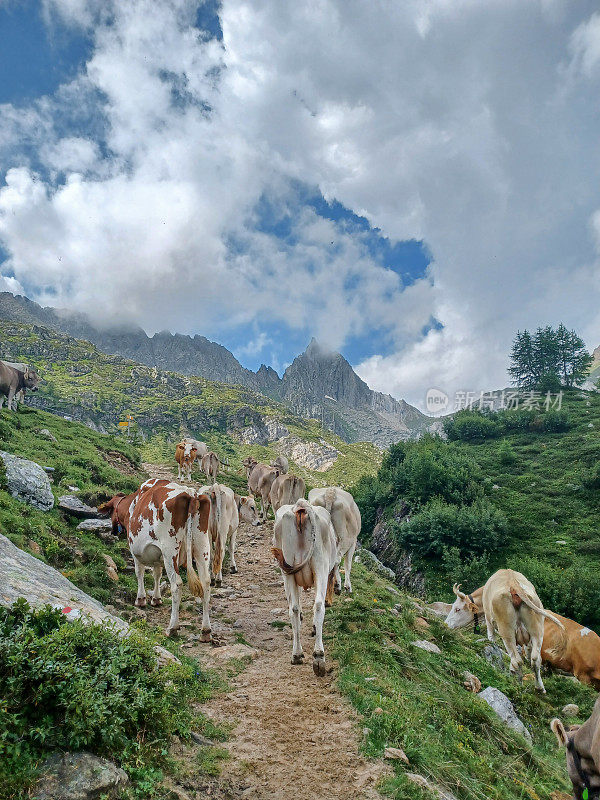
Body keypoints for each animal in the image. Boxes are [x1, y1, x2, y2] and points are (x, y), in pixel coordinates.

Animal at [127, 482, 212, 636]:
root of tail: (191, 493)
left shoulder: (135, 552)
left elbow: (139, 573)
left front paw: (141, 599)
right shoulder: (158, 557)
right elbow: (157, 574)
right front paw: (156, 598)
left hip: (170, 550)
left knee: (177, 584)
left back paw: (172, 627)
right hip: (202, 546)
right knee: (206, 582)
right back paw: (206, 631)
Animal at [272, 500, 338, 676]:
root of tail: (301, 506)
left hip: (288, 570)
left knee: (294, 608)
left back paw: (297, 654)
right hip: (320, 567)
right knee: (318, 605)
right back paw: (319, 656)